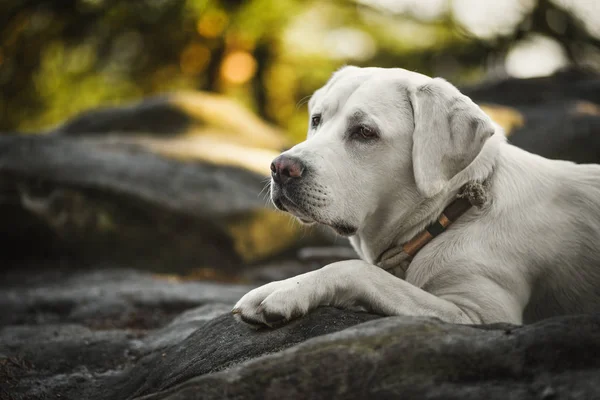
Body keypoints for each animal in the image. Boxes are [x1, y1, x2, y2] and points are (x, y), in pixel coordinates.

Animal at [231, 66, 600, 328]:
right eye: (317, 120)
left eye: (365, 132)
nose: (281, 168)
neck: (453, 209)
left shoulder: (481, 314)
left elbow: (357, 270)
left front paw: (288, 291)